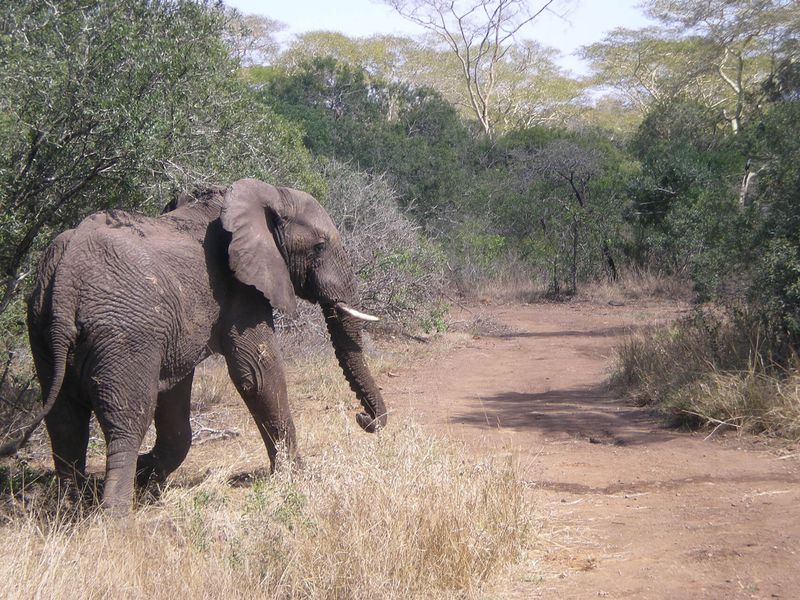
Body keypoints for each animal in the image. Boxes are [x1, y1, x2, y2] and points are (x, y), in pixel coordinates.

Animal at [0, 177, 388, 510]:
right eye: (320, 246)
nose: (363, 419)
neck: (260, 195)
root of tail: (64, 278)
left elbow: (175, 392)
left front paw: (149, 480)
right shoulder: (240, 288)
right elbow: (257, 373)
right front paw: (297, 478)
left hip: (43, 328)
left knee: (65, 422)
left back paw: (70, 509)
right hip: (123, 335)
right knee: (127, 420)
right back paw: (115, 518)